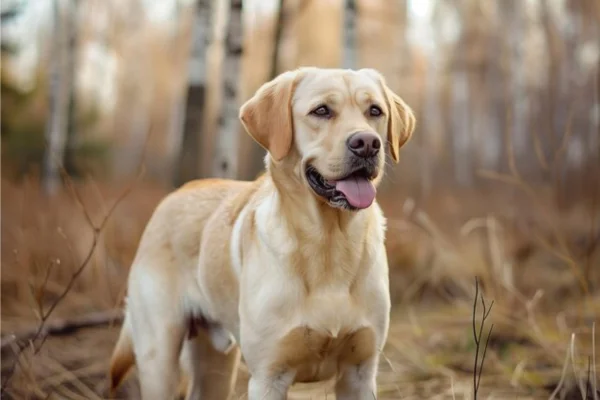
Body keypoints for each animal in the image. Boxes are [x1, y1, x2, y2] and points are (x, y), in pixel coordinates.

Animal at [110, 67, 414, 398]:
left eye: (375, 111)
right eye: (321, 110)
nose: (368, 143)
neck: (329, 242)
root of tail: (173, 195)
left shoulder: (360, 372)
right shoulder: (268, 376)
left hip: (216, 366)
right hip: (159, 358)